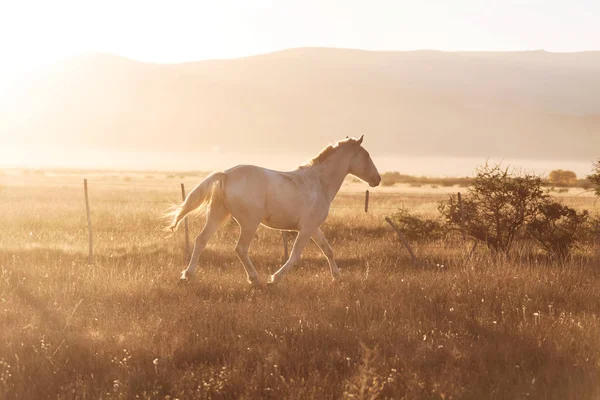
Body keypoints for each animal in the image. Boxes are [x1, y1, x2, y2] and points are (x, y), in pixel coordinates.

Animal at [166, 137, 380, 284]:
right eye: (367, 155)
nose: (377, 179)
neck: (319, 182)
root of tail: (226, 174)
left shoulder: (313, 228)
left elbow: (328, 250)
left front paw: (337, 277)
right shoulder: (306, 229)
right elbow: (295, 255)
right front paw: (275, 278)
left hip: (218, 215)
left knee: (201, 240)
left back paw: (187, 275)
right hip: (249, 223)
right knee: (240, 248)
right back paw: (255, 279)